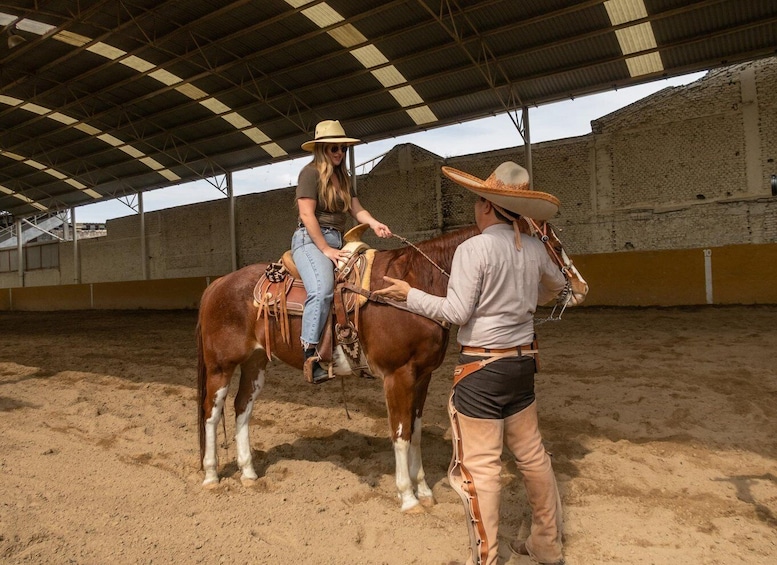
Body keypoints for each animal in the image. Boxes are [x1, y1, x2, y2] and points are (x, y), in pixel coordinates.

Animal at [197, 224, 478, 512]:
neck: (415, 284)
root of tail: (218, 284)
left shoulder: (423, 376)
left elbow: (416, 432)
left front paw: (423, 490)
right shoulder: (398, 375)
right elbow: (401, 434)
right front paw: (408, 498)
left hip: (255, 363)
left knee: (242, 407)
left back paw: (248, 473)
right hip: (220, 366)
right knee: (211, 413)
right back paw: (211, 475)